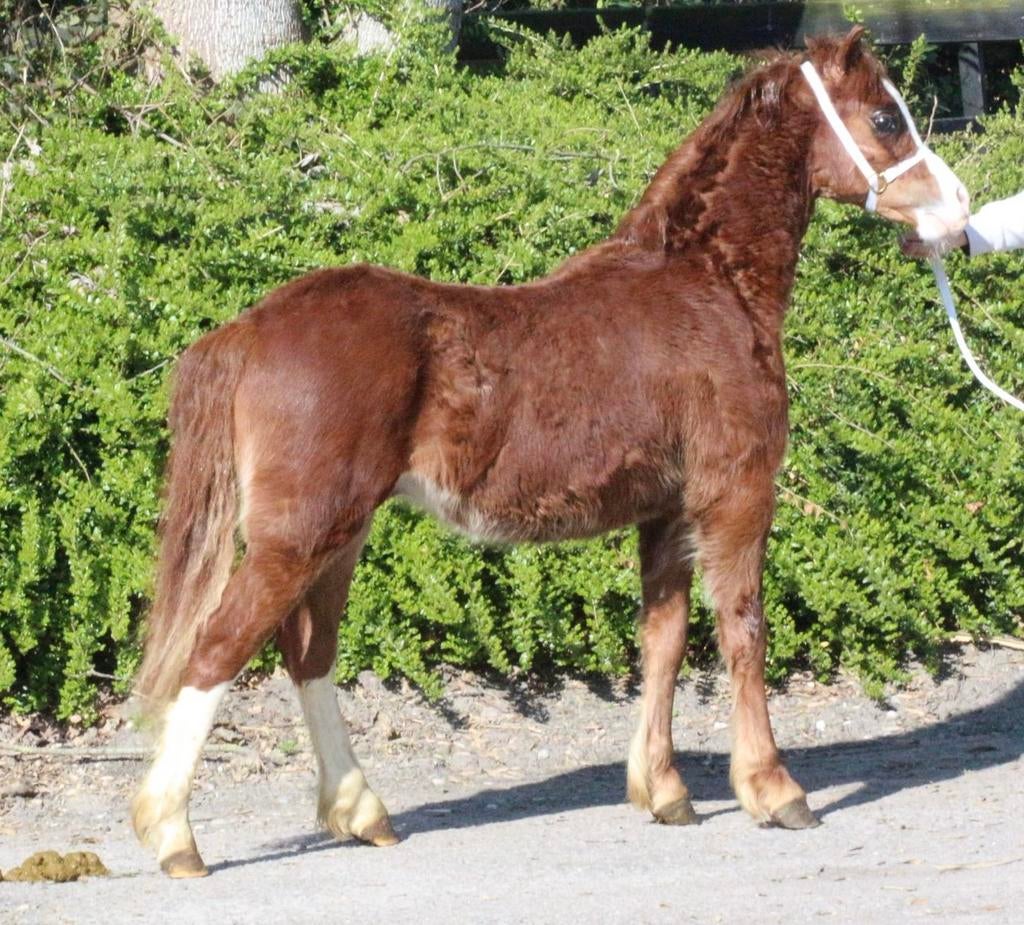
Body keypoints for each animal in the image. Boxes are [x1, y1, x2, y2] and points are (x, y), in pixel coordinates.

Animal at [131, 27, 969, 877]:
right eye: (886, 116)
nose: (955, 209)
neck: (706, 285)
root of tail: (246, 330)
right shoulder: (734, 494)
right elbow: (743, 629)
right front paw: (773, 789)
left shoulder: (665, 512)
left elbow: (662, 640)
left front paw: (664, 791)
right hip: (299, 536)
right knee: (217, 649)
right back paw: (173, 834)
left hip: (338, 536)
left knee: (310, 653)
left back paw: (360, 811)